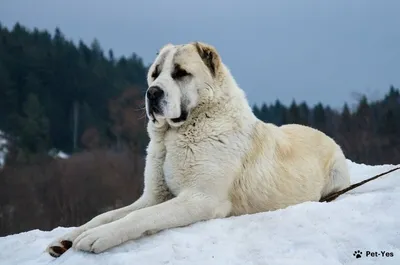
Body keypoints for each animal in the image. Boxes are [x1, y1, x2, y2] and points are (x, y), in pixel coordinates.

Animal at [46, 41, 350, 256]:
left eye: (180, 73)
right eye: (155, 74)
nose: (152, 93)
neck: (177, 135)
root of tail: (322, 133)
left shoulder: (200, 198)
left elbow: (138, 216)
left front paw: (96, 237)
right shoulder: (154, 196)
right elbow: (108, 213)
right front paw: (67, 238)